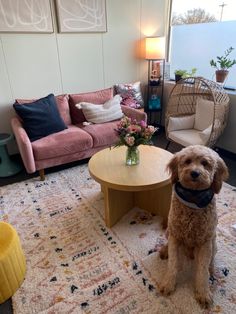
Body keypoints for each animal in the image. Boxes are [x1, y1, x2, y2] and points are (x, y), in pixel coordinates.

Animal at [159, 146, 229, 308]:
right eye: (187, 161)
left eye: (205, 163)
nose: (195, 173)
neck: (193, 198)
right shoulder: (175, 235)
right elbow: (173, 264)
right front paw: (169, 283)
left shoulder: (205, 242)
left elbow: (202, 271)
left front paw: (203, 293)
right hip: (169, 231)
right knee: (168, 244)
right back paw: (164, 250)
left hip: (213, 242)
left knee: (211, 260)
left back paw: (212, 269)